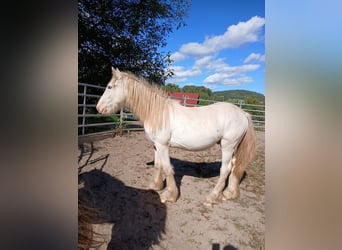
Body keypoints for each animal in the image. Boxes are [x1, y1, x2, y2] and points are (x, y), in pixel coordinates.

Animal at [97, 68, 256, 205]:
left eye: (109, 87)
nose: (99, 108)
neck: (158, 113)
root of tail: (243, 114)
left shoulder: (163, 145)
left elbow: (167, 168)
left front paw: (170, 195)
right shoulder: (156, 145)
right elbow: (158, 165)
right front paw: (155, 186)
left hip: (228, 146)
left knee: (225, 169)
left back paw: (211, 197)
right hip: (234, 147)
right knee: (235, 166)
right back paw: (229, 193)